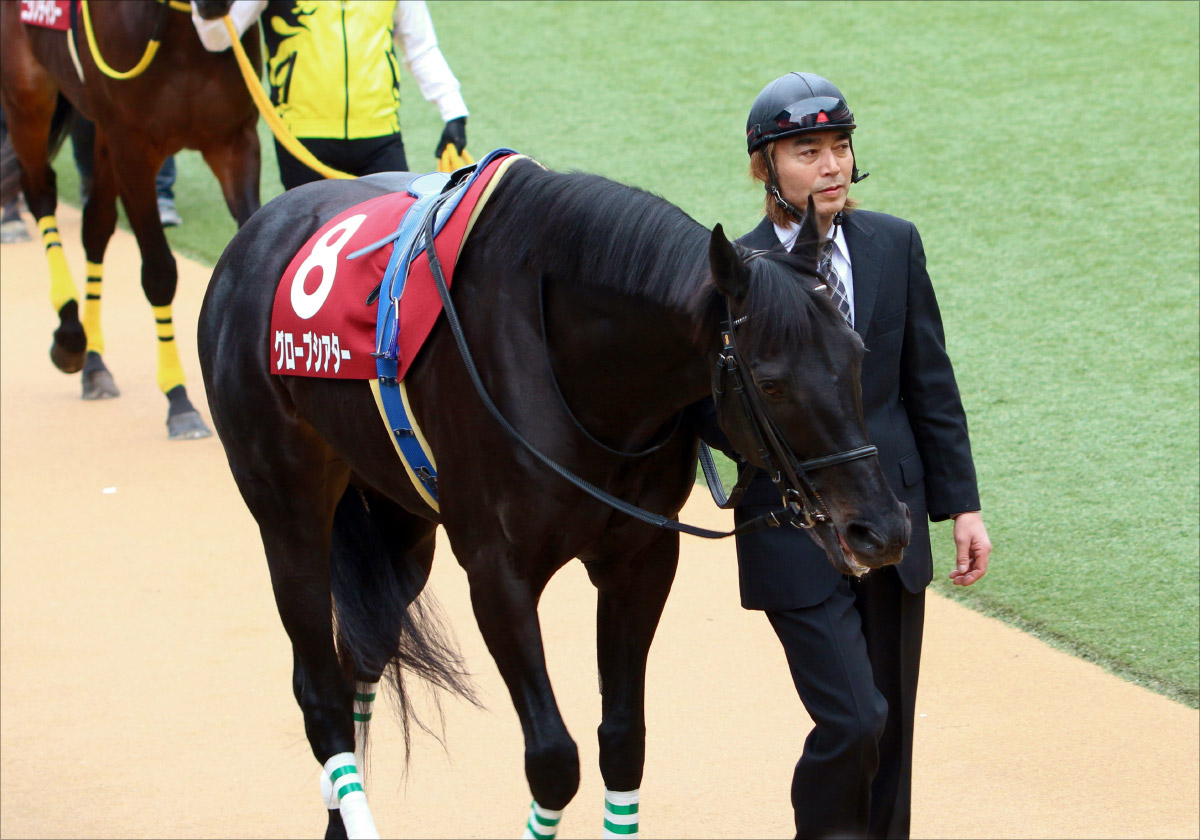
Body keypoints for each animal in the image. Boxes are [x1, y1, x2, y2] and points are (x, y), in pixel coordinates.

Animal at [0, 0, 262, 438]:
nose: (214, 5)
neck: (179, 36)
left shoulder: (234, 142)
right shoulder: (133, 148)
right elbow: (159, 273)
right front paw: (178, 399)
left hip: (99, 131)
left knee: (96, 225)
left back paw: (94, 365)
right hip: (27, 94)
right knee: (40, 191)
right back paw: (70, 335)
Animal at [197, 156, 911, 839]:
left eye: (856, 352)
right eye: (771, 382)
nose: (881, 529)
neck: (579, 374)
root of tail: (256, 232)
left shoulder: (640, 558)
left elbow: (622, 743)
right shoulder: (498, 573)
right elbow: (552, 759)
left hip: (397, 520)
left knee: (361, 660)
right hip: (287, 507)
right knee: (319, 694)